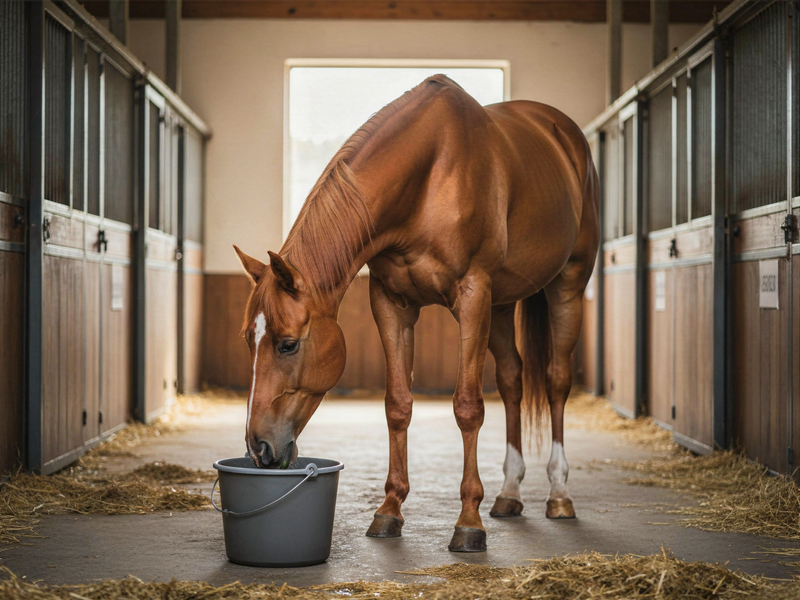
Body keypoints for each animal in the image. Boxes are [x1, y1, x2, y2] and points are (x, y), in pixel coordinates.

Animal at [233, 74, 599, 553]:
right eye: (248, 340)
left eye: (288, 344)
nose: (258, 447)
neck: (429, 178)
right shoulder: (392, 304)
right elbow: (397, 405)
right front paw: (389, 510)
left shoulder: (473, 296)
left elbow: (467, 407)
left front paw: (468, 521)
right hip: (502, 305)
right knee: (512, 380)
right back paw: (509, 493)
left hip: (566, 286)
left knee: (556, 380)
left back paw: (558, 494)